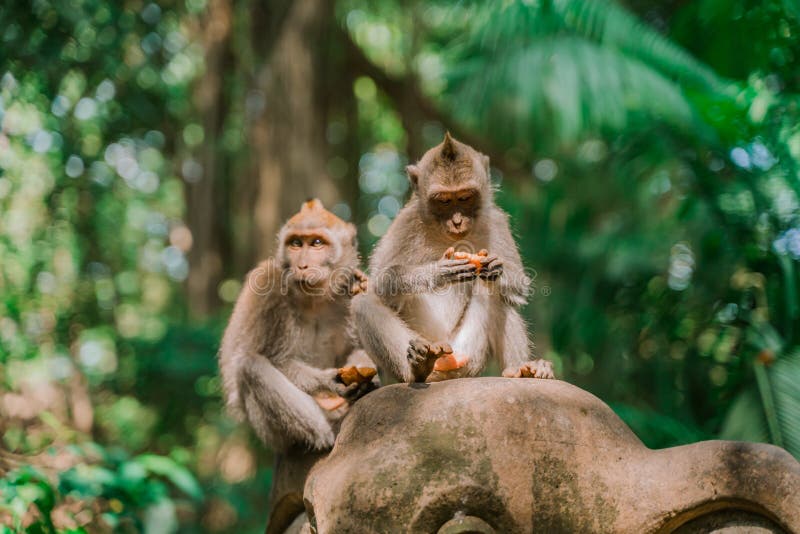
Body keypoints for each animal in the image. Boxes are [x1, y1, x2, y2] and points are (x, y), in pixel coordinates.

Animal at [217, 199, 376, 454]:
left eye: (317, 243)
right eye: (296, 243)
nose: (302, 265)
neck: (313, 300)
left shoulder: (352, 293)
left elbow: (359, 348)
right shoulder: (266, 291)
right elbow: (269, 359)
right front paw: (330, 382)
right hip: (273, 434)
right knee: (250, 366)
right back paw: (326, 435)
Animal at [354, 134, 552, 386]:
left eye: (465, 197)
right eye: (444, 201)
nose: (457, 222)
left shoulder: (495, 221)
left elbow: (517, 286)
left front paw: (497, 269)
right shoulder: (406, 222)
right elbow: (382, 280)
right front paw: (438, 272)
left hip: (470, 355)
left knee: (497, 296)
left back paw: (522, 369)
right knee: (363, 303)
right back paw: (419, 368)